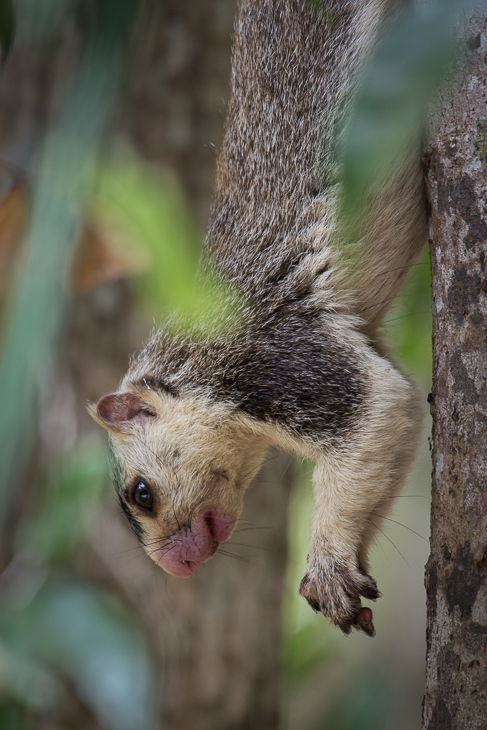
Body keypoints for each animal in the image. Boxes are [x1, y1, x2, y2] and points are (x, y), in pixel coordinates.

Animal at [90, 0, 428, 636]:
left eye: (142, 493)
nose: (177, 567)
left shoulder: (275, 360)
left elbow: (374, 409)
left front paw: (328, 567)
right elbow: (397, 424)